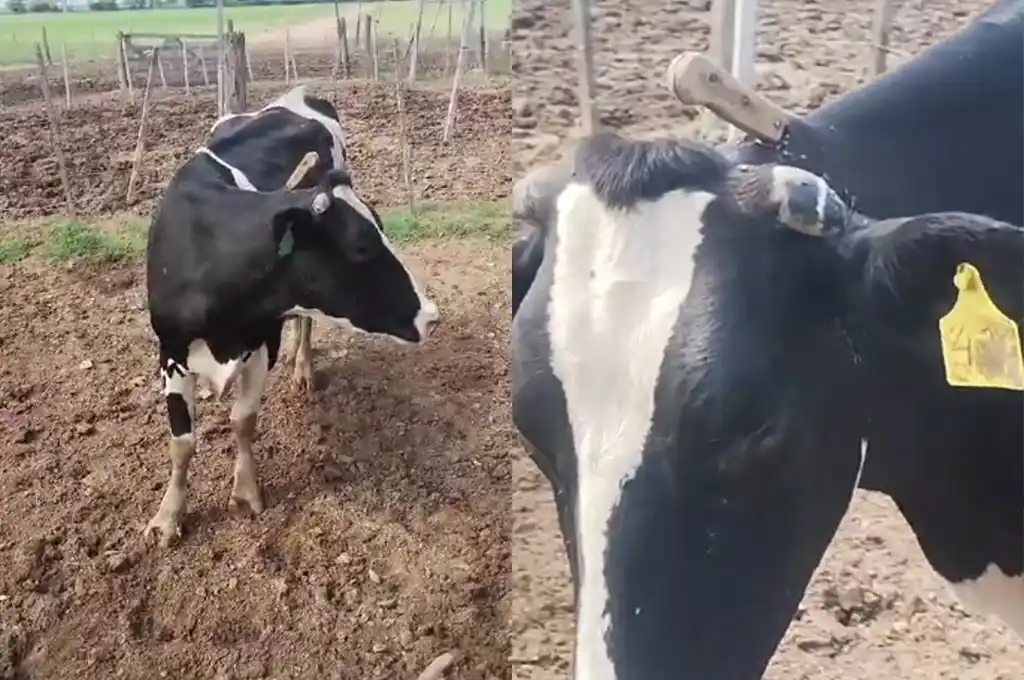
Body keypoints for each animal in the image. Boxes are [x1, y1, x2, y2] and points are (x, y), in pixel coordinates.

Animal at [144, 86, 439, 547]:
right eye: (361, 247)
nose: (430, 315)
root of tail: (299, 92)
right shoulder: (170, 350)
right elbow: (182, 441)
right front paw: (168, 517)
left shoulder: (264, 339)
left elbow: (243, 420)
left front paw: (246, 492)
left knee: (306, 322)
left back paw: (303, 369)